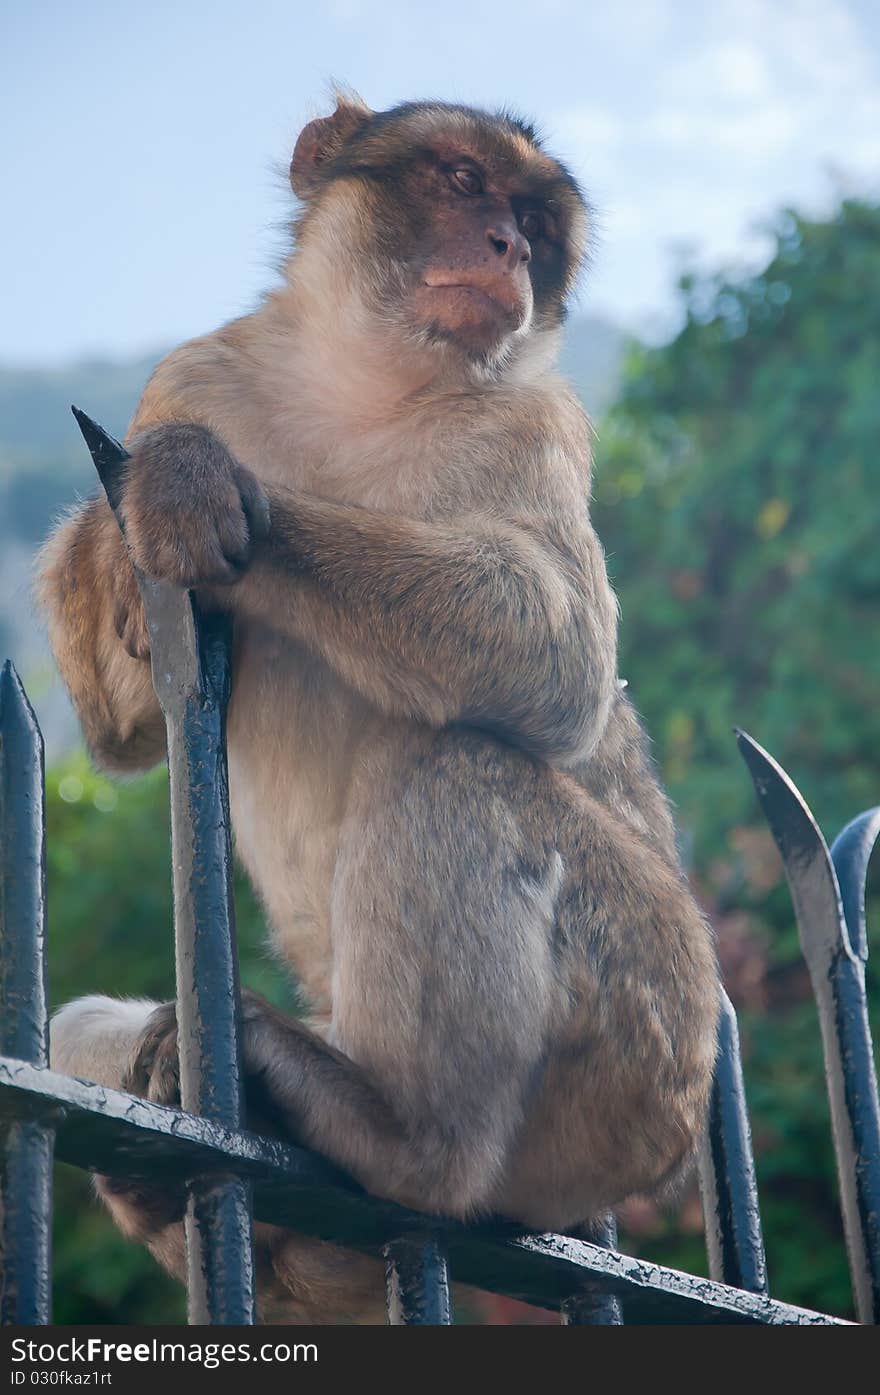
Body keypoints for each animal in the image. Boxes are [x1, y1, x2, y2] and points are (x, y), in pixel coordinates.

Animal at [37, 95, 719, 1316]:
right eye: (461, 180)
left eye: (535, 222)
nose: (505, 248)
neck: (359, 389)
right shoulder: (196, 372)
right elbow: (123, 732)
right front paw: (127, 526)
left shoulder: (537, 422)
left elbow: (560, 657)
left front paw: (197, 483)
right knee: (85, 1029)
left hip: (645, 1034)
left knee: (456, 766)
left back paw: (405, 1139)